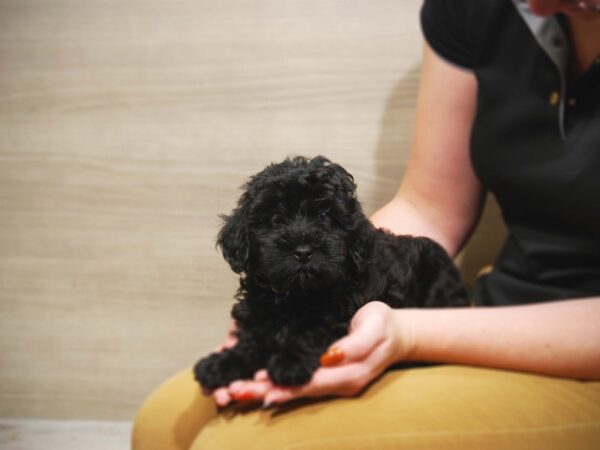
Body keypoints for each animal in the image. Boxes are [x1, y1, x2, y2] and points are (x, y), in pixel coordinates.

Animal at [195, 156, 472, 388]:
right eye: (275, 219)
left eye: (325, 215)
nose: (303, 251)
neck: (298, 294)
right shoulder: (260, 311)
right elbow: (253, 338)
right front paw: (221, 364)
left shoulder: (343, 314)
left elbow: (315, 331)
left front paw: (290, 362)